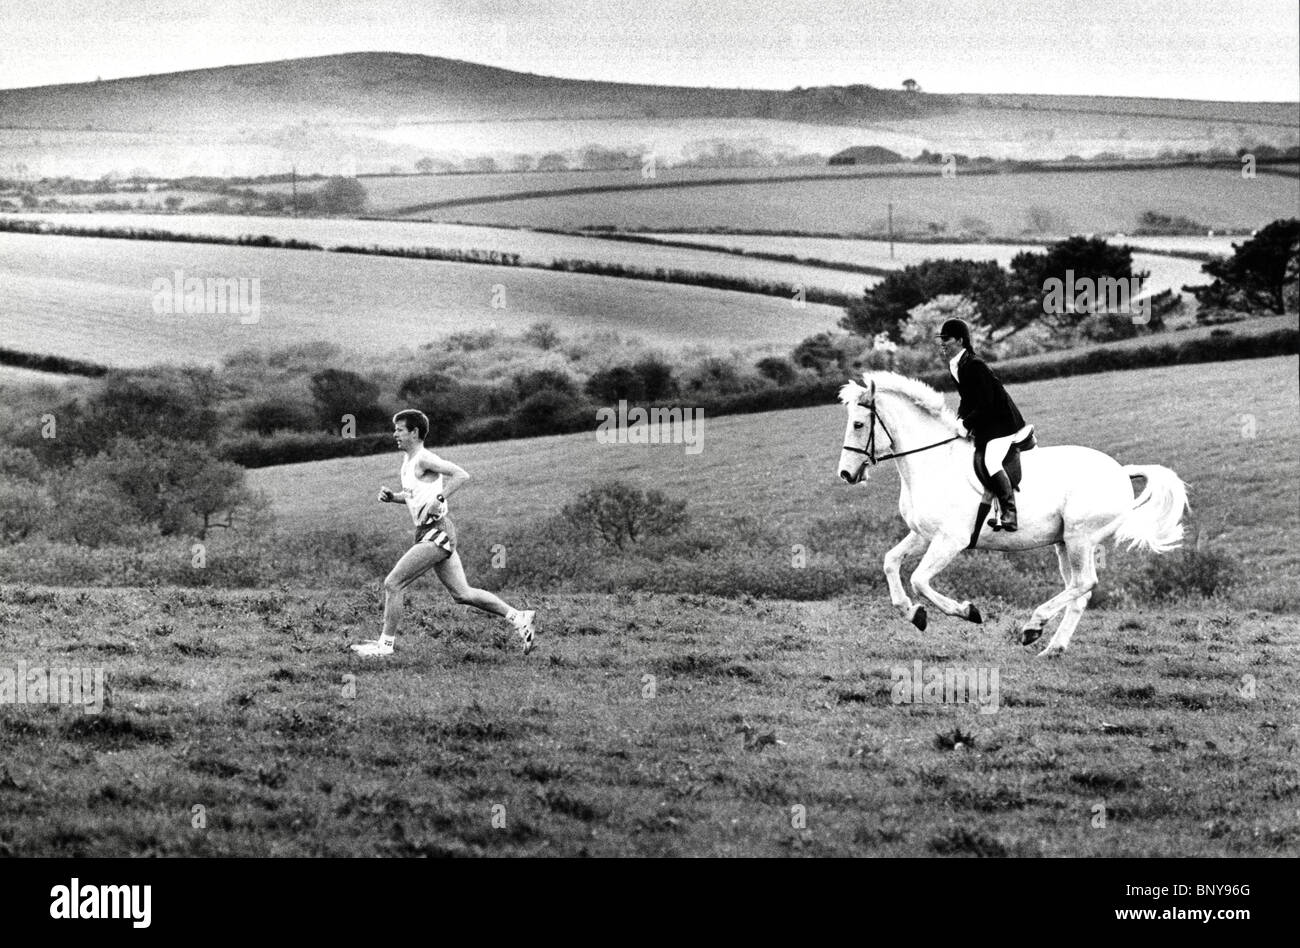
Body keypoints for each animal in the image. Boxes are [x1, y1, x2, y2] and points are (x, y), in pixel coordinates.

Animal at [832, 374, 1190, 655]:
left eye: (858, 424)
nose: (846, 474)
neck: (933, 462)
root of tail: (1121, 471)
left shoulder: (951, 540)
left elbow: (919, 579)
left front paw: (967, 611)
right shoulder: (924, 535)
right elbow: (891, 562)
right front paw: (912, 613)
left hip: (1081, 537)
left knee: (1085, 582)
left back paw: (1034, 625)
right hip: (1064, 542)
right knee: (1079, 591)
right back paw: (1052, 647)